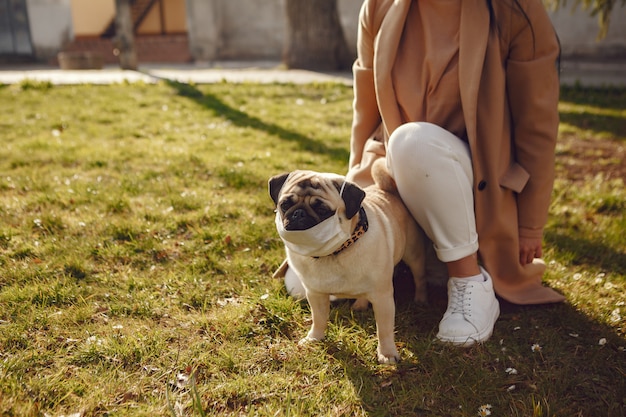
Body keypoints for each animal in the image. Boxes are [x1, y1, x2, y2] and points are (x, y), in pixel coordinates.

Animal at [266, 159, 426, 364]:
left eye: (322, 210)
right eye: (285, 204)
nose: (299, 213)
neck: (334, 252)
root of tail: (390, 191)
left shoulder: (383, 298)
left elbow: (384, 330)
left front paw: (387, 353)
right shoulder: (315, 294)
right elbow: (318, 319)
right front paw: (314, 338)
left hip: (414, 256)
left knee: (419, 277)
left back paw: (421, 300)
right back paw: (360, 305)